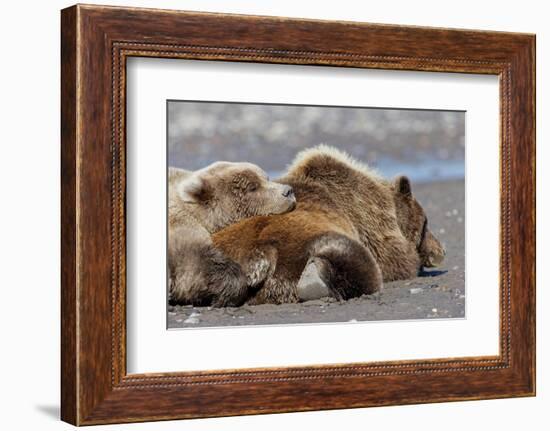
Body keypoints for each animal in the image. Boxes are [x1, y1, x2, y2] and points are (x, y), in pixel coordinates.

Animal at [212, 147, 448, 306]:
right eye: (426, 223)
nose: (441, 251)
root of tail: (260, 255)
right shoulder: (370, 221)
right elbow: (399, 260)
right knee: (357, 262)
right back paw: (315, 278)